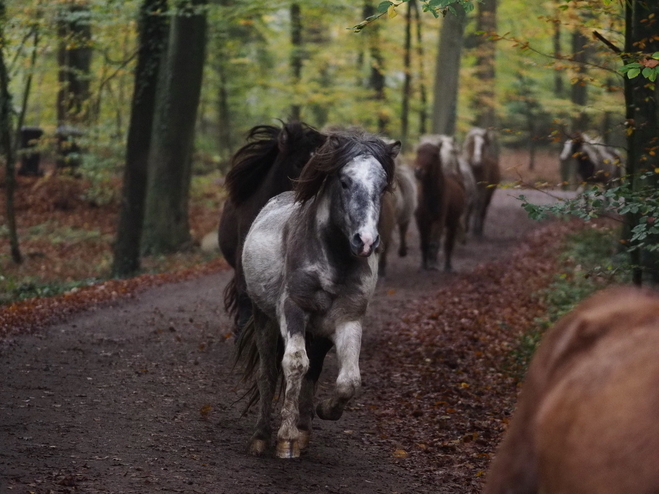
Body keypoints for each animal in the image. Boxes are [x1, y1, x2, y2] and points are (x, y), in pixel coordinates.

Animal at [416, 141, 466, 272]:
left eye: (434, 154)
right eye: (418, 152)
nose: (418, 171)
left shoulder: (439, 219)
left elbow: (434, 243)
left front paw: (433, 263)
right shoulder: (421, 220)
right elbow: (424, 242)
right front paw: (423, 265)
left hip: (452, 222)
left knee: (448, 243)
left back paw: (447, 266)